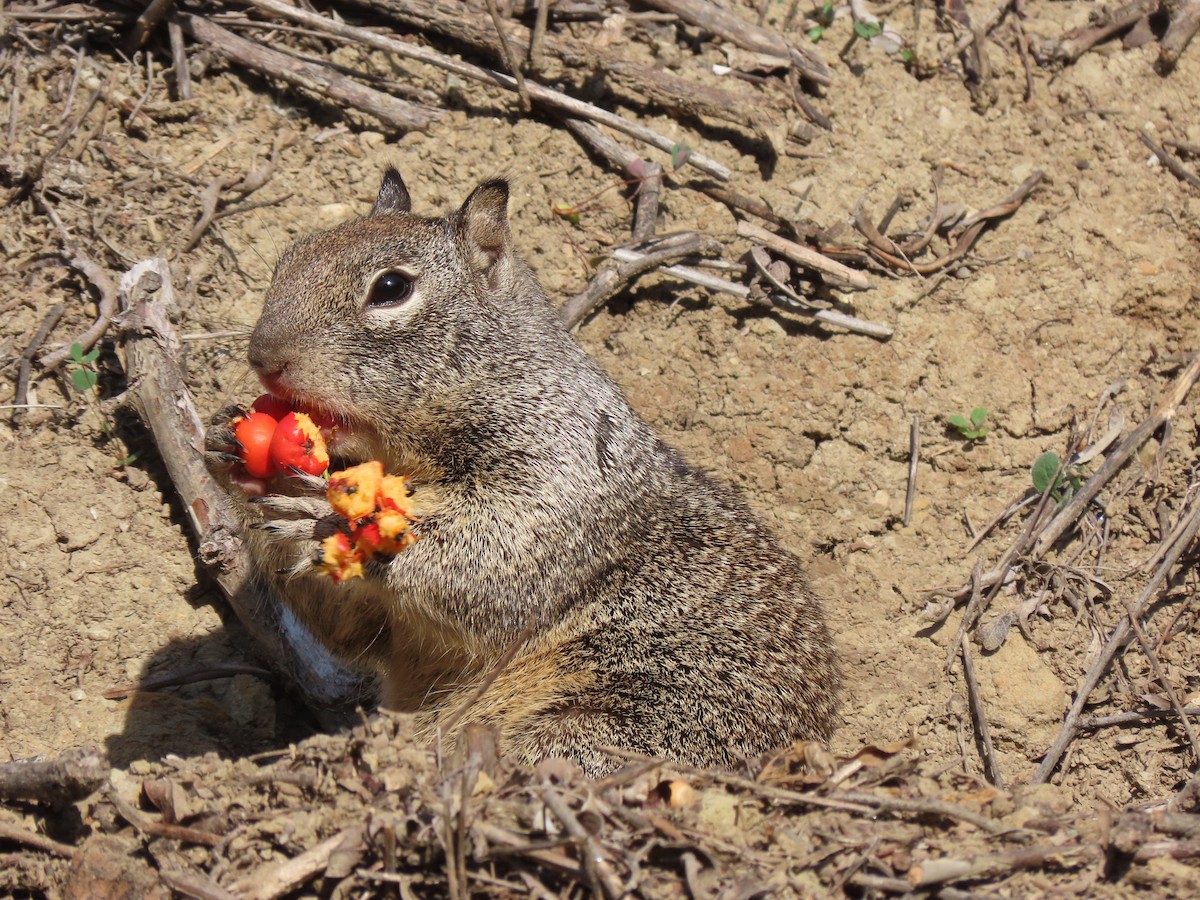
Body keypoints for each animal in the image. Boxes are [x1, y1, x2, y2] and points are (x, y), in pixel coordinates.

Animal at [206, 169, 839, 774]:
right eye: (291, 255)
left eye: (391, 287)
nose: (262, 357)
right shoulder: (385, 626)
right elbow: (341, 625)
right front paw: (226, 446)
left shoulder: (561, 474)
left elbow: (492, 557)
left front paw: (325, 517)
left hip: (619, 727)